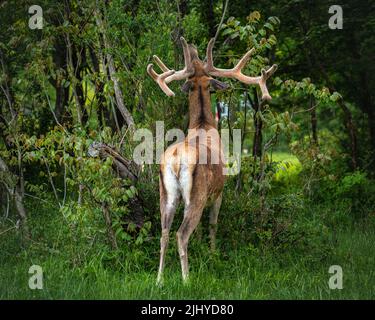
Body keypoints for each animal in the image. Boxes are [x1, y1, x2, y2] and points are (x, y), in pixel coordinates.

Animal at [147, 36, 276, 284]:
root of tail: (176, 159)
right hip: (196, 194)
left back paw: (159, 280)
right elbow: (213, 224)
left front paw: (201, 249)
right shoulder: (219, 192)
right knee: (181, 233)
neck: (203, 125)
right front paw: (213, 253)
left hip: (165, 193)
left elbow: (199, 230)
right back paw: (187, 280)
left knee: (164, 233)